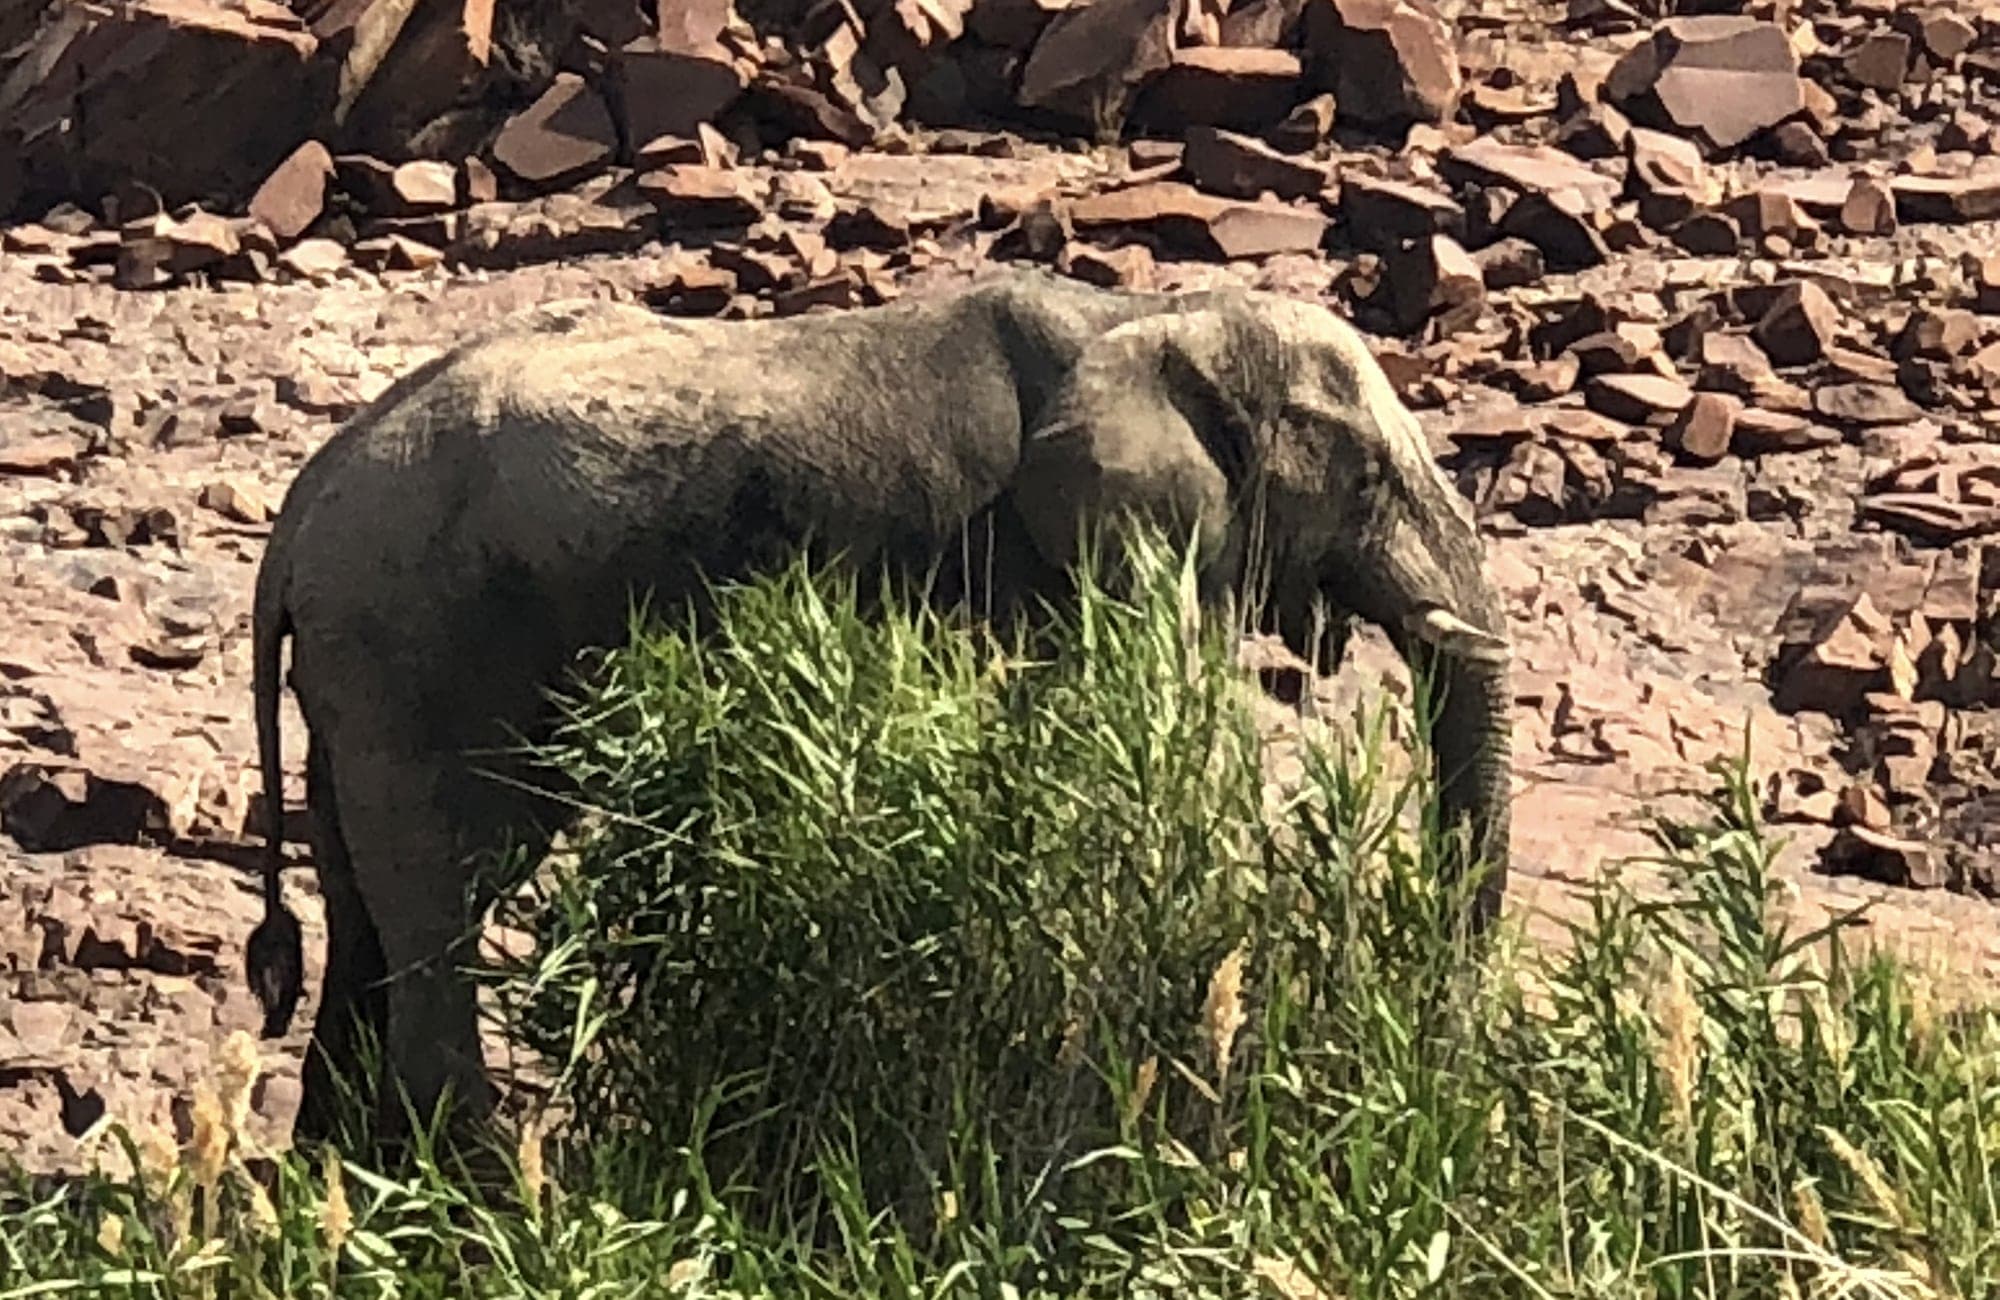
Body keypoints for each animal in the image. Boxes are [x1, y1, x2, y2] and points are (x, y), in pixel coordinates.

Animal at [242, 266, 1514, 1144]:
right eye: (1365, 477)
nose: (1439, 1034)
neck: (1150, 313)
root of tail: (300, 509)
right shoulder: (1055, 558)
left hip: (364, 669)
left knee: (363, 919)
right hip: (422, 643)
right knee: (445, 905)